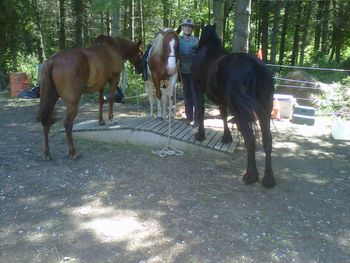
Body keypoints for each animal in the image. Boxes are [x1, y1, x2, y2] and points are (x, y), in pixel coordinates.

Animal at [191, 23, 276, 188]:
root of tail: (256, 67)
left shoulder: (198, 89)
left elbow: (201, 110)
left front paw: (200, 134)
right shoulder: (222, 100)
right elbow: (223, 115)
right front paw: (226, 137)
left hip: (240, 112)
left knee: (250, 139)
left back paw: (250, 176)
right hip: (264, 110)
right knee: (267, 139)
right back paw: (268, 179)